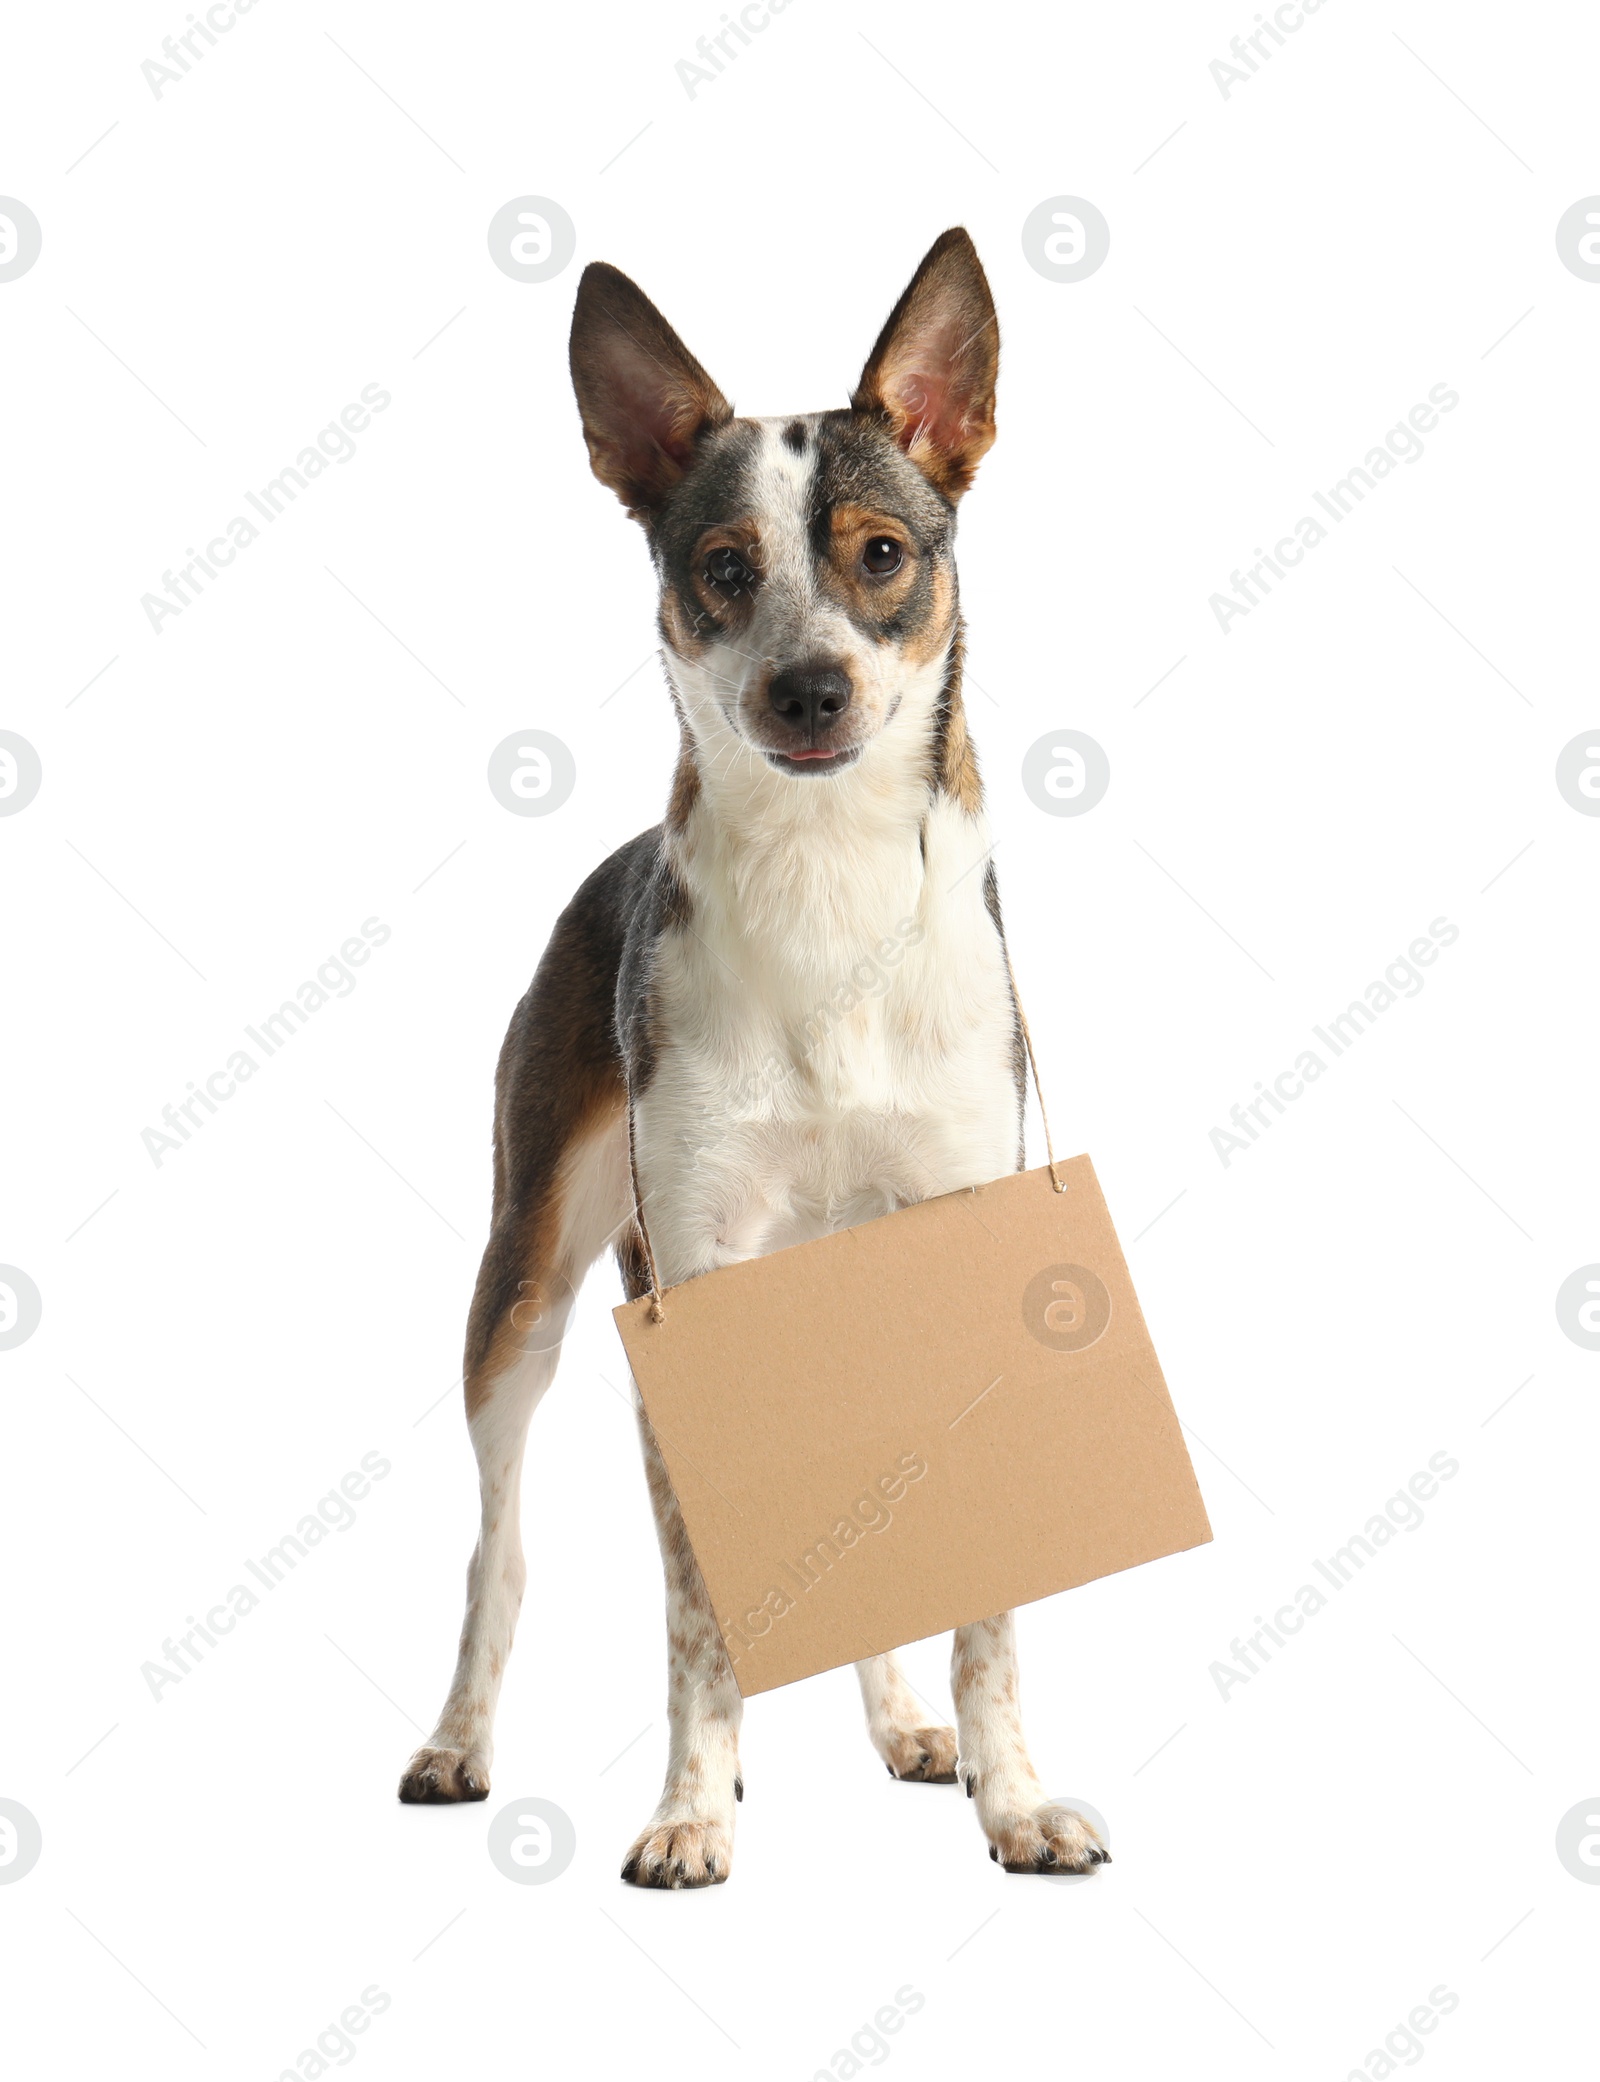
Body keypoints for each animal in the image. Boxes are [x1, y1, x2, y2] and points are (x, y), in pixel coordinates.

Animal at [395, 227, 1116, 1890]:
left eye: (882, 553)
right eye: (724, 568)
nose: (809, 688)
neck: (825, 884)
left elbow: (979, 1595)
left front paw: (1011, 1793)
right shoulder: (690, 1281)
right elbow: (694, 1614)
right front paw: (688, 1811)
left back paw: (904, 1723)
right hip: (524, 1284)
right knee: (496, 1547)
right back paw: (460, 1740)